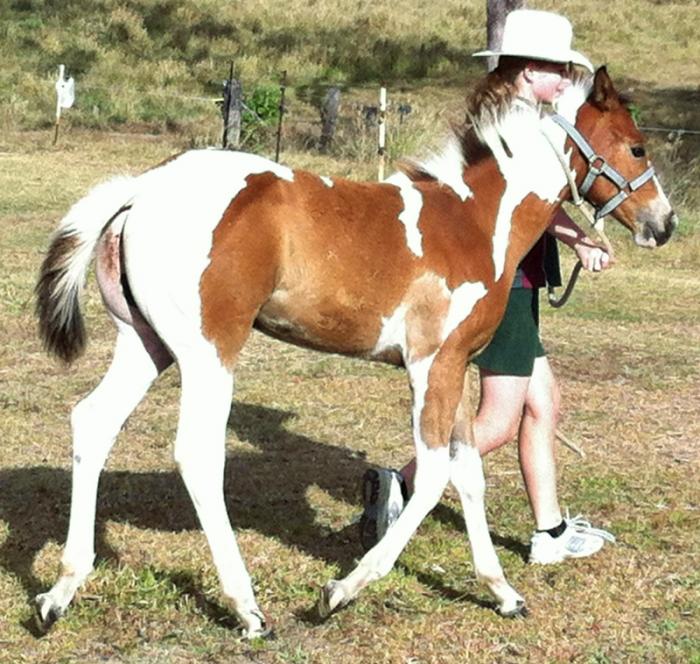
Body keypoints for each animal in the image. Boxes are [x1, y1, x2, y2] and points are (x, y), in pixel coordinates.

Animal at [35, 67, 676, 637]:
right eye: (637, 147)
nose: (664, 223)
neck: (475, 223)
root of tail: (142, 188)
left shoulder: (457, 368)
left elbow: (469, 476)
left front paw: (503, 593)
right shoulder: (431, 365)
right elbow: (436, 474)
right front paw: (341, 590)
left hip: (145, 343)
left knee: (92, 422)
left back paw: (60, 592)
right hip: (208, 351)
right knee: (196, 453)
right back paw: (247, 610)